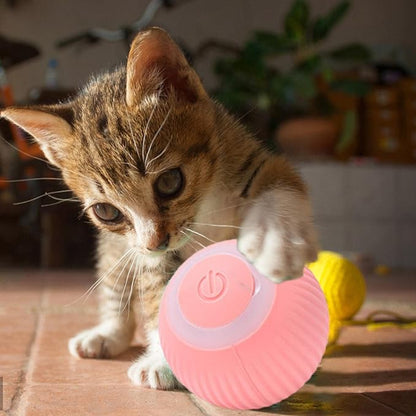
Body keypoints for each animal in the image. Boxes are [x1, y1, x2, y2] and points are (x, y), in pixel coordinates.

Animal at [0, 28, 318, 390]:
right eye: (106, 211)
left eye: (169, 181)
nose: (155, 243)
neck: (204, 206)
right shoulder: (149, 254)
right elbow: (158, 291)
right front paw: (165, 361)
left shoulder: (253, 158)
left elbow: (279, 185)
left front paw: (274, 244)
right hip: (119, 249)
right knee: (115, 282)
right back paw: (106, 335)